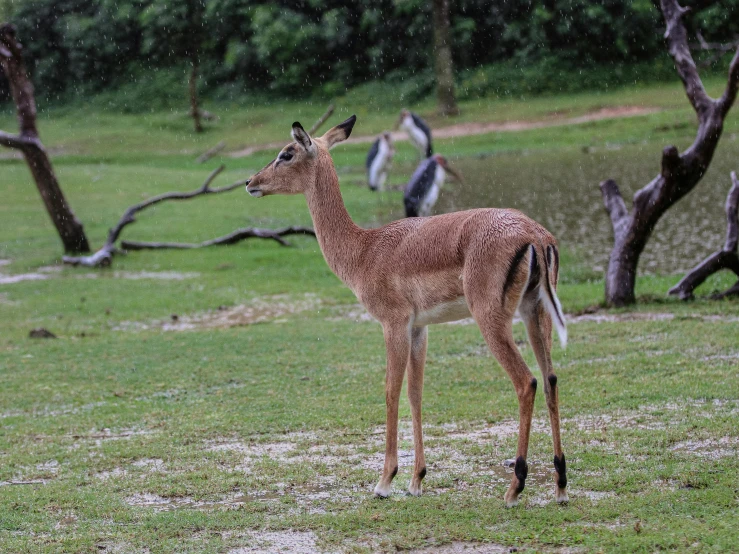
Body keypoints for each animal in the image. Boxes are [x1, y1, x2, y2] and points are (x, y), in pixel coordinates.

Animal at [246, 115, 568, 504]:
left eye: (287, 153)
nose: (251, 182)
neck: (365, 250)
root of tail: (535, 235)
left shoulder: (393, 323)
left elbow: (390, 389)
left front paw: (385, 482)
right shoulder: (419, 327)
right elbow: (416, 392)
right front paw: (416, 480)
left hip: (492, 319)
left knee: (526, 381)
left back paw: (514, 487)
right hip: (536, 313)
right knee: (550, 378)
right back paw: (561, 485)